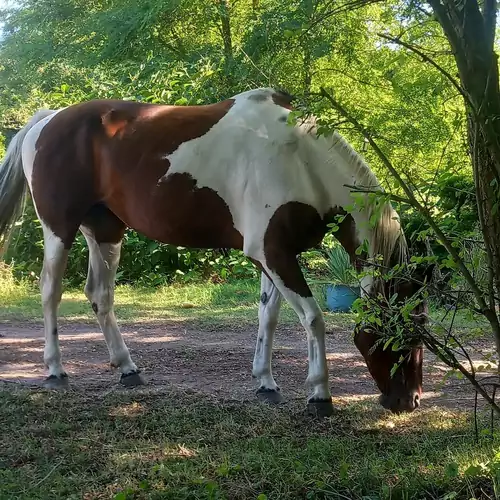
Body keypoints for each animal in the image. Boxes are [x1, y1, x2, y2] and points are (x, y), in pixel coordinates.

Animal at [0, 89, 430, 414]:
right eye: (403, 332)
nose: (409, 400)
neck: (299, 158)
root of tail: (47, 120)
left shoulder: (273, 256)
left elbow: (268, 317)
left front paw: (266, 383)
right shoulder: (273, 253)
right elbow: (313, 318)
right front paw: (319, 395)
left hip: (105, 231)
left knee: (99, 295)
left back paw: (127, 369)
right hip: (59, 228)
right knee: (51, 292)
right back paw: (55, 372)